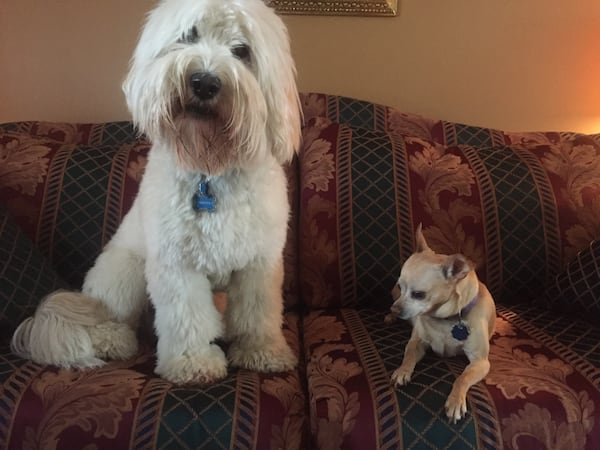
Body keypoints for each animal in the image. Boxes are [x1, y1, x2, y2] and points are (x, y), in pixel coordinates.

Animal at [12, 0, 304, 386]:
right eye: (188, 35)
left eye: (242, 51)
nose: (205, 82)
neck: (209, 169)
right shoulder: (175, 262)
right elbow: (187, 317)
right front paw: (193, 362)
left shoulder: (258, 264)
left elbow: (258, 314)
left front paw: (263, 352)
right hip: (125, 272)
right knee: (112, 317)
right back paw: (112, 339)